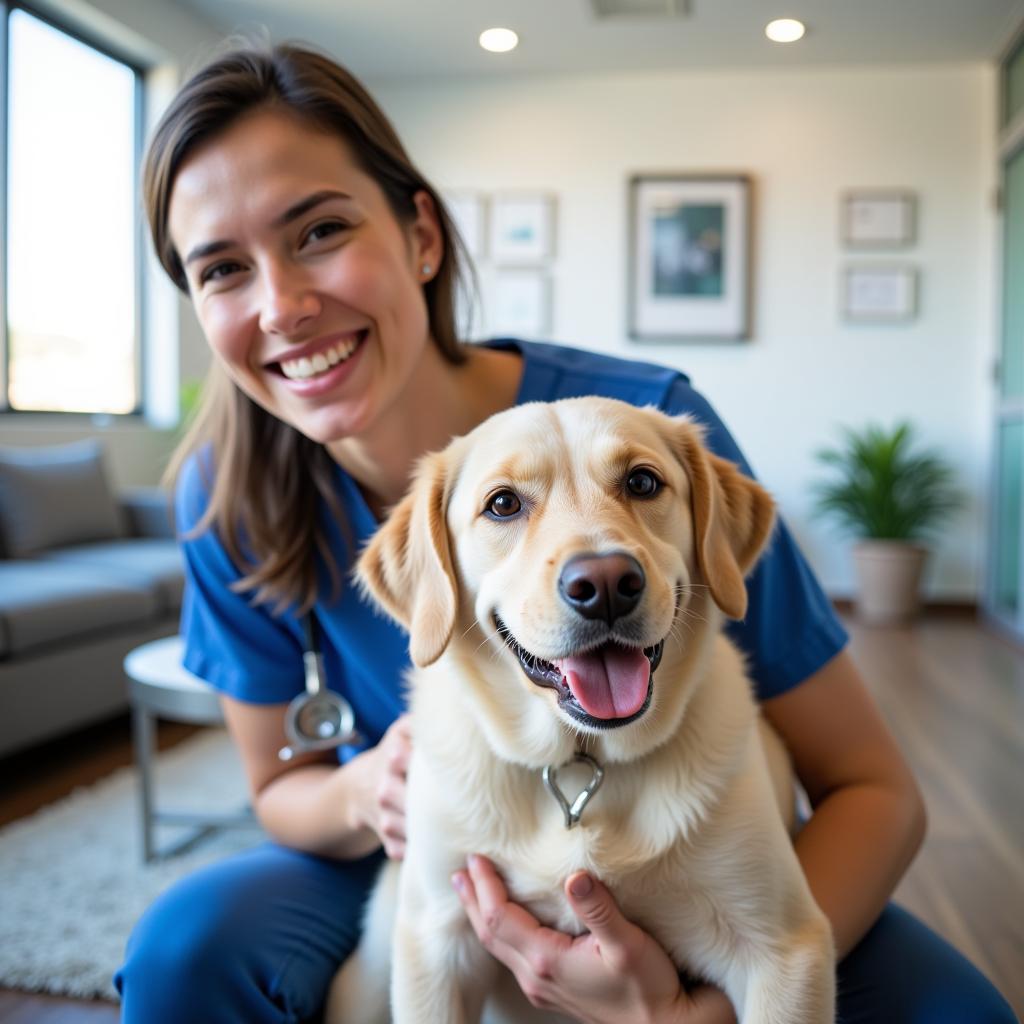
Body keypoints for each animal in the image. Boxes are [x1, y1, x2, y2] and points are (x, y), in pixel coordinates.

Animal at [331, 397, 835, 1024]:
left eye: (642, 482)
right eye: (503, 503)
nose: (606, 583)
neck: (579, 760)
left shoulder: (783, 950)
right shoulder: (435, 942)